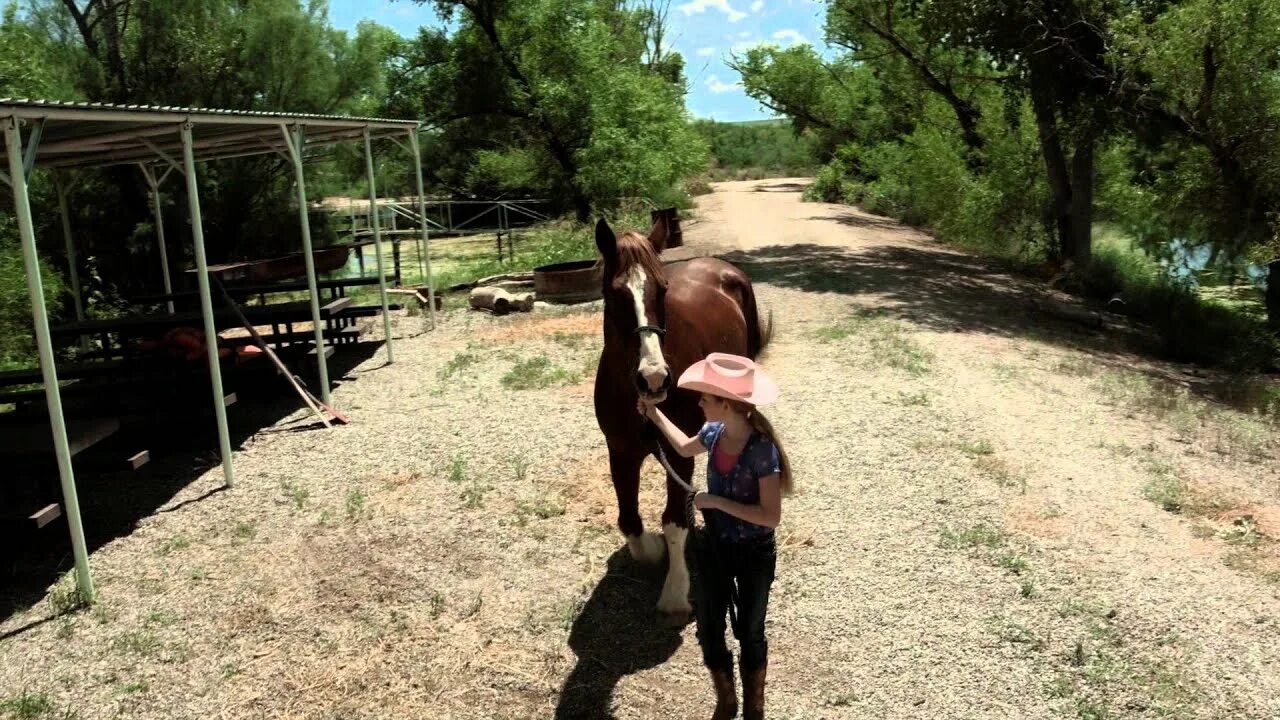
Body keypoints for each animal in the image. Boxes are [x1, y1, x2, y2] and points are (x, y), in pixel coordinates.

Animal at [591, 212, 768, 617]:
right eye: (614, 293)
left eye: (662, 289)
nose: (654, 378)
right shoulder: (620, 452)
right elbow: (630, 521)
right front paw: (652, 550)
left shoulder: (678, 453)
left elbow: (674, 523)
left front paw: (675, 591)